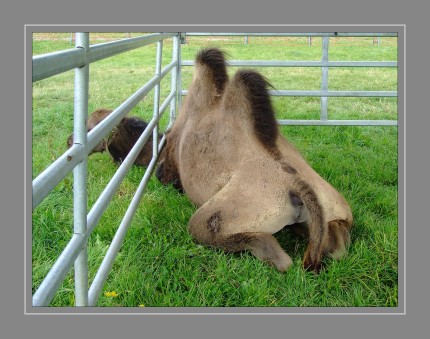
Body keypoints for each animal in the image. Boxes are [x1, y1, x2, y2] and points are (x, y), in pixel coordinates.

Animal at [155, 48, 352, 274]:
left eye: (165, 142)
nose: (158, 174)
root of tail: (295, 184)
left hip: (215, 217)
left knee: (279, 258)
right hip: (334, 209)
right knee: (335, 244)